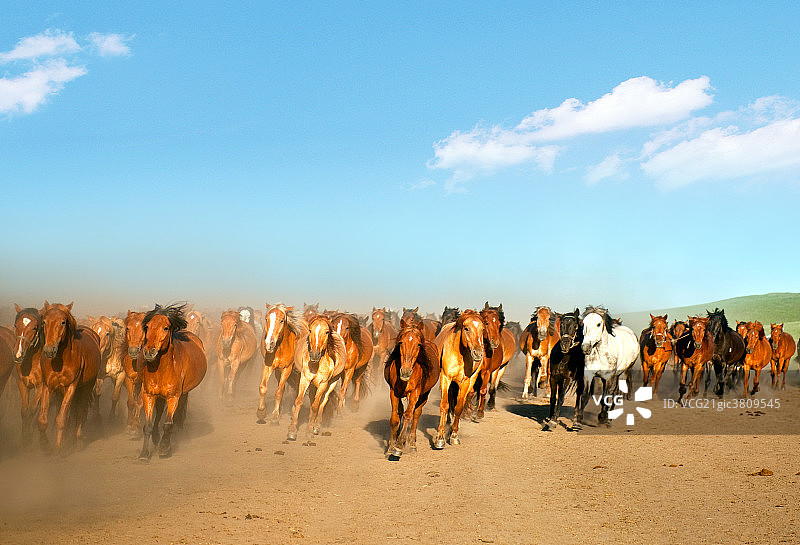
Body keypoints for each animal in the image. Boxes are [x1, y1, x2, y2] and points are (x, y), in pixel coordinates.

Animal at [38, 302, 101, 452]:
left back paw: (77, 439)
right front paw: (45, 444)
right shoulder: (48, 386)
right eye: (44, 321)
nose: (49, 350)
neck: (61, 360)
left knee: (80, 410)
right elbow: (43, 420)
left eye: (63, 322)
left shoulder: (71, 386)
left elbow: (61, 418)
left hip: (86, 387)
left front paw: (58, 447)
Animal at [139, 304, 207, 460]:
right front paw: (144, 454)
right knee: (159, 414)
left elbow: (168, 423)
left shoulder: (173, 397)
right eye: (147, 327)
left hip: (183, 393)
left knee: (178, 413)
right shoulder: (149, 395)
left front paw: (164, 449)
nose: (149, 352)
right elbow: (149, 425)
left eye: (165, 328)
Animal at [384, 321, 440, 457]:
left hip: (424, 394)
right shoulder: (393, 392)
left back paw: (411, 443)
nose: (405, 371)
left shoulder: (415, 393)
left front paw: (398, 446)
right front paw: (391, 447)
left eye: (418, 344)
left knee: (416, 414)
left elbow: (408, 415)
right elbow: (395, 418)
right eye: (400, 342)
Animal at [432, 309, 485, 448]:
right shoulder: (445, 378)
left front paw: (454, 435)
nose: (478, 353)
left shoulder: (464, 382)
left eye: (483, 329)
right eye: (466, 328)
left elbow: (459, 408)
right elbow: (444, 405)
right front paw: (440, 438)